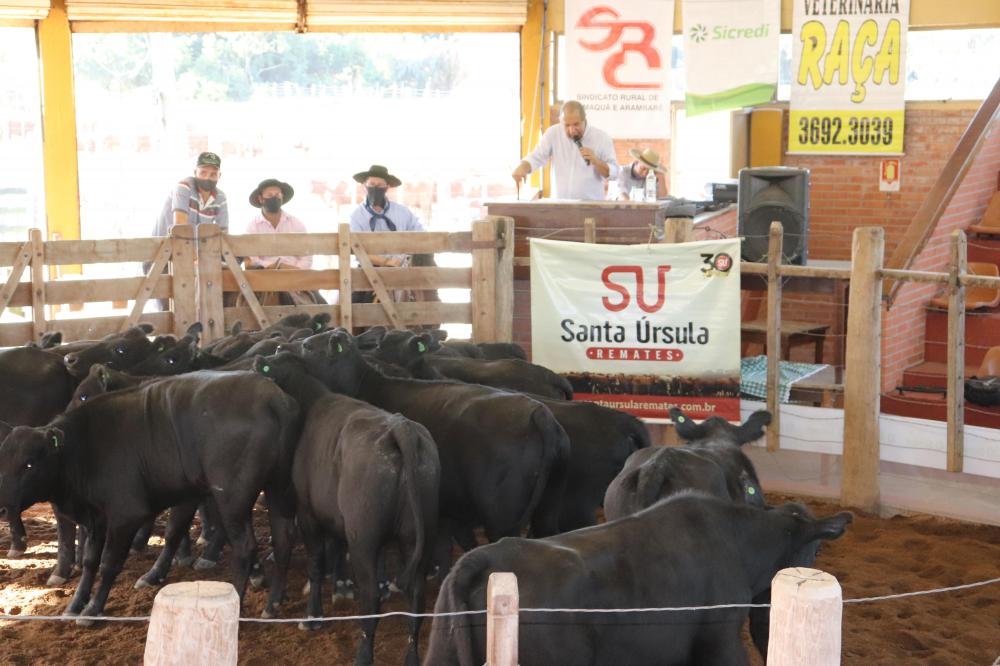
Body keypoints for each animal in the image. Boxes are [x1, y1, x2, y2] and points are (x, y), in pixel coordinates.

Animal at [0, 370, 298, 620]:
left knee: (245, 547)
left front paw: (93, 609)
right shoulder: (97, 518)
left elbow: (109, 562)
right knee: (283, 541)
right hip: (278, 489)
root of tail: (273, 397)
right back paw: (272, 604)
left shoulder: (126, 515)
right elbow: (89, 562)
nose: (3, 507)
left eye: (29, 464)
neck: (85, 447)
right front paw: (75, 605)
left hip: (232, 497)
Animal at [254, 350, 438, 660]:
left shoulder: (308, 512)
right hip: (413, 536)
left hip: (362, 536)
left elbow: (316, 564)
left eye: (271, 364)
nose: (257, 359)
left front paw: (312, 616)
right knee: (416, 594)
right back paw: (411, 656)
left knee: (370, 596)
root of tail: (401, 428)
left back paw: (363, 654)